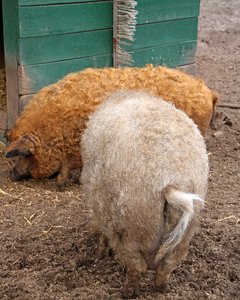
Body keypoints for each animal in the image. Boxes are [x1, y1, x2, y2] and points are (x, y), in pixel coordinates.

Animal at [80, 89, 208, 298]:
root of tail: (170, 181)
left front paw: (99, 254)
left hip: (130, 224)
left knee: (135, 266)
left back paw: (126, 292)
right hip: (188, 226)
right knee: (167, 265)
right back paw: (162, 288)